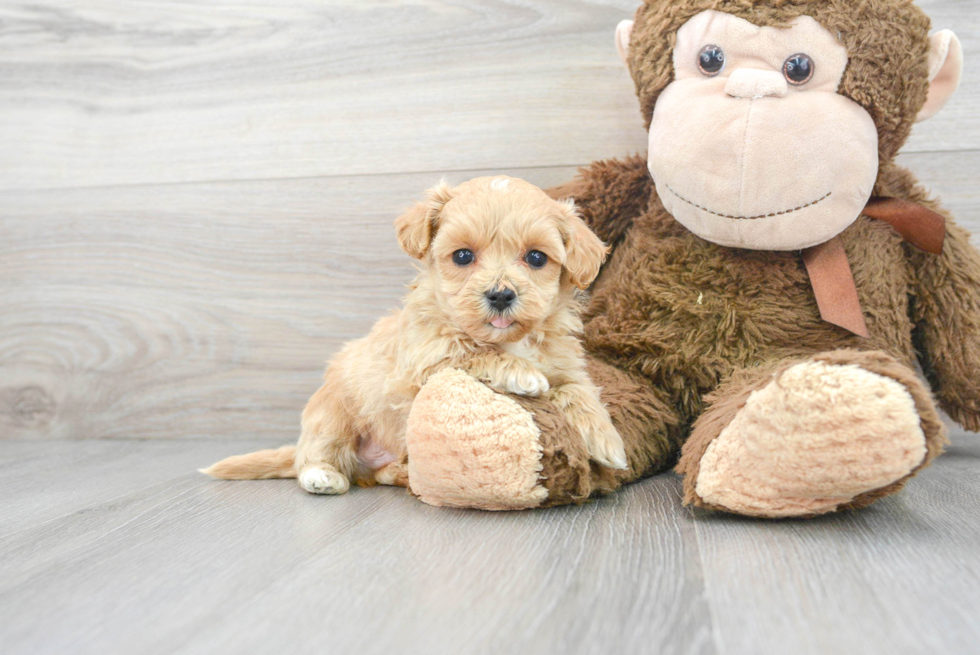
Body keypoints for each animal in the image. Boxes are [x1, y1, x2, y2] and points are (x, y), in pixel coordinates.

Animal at [205, 177, 628, 494]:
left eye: (537, 258)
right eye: (462, 256)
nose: (501, 294)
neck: (510, 339)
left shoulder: (566, 366)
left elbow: (579, 392)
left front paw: (608, 442)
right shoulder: (424, 361)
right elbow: (472, 352)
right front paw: (521, 372)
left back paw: (399, 472)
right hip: (333, 412)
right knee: (315, 453)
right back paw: (322, 476)